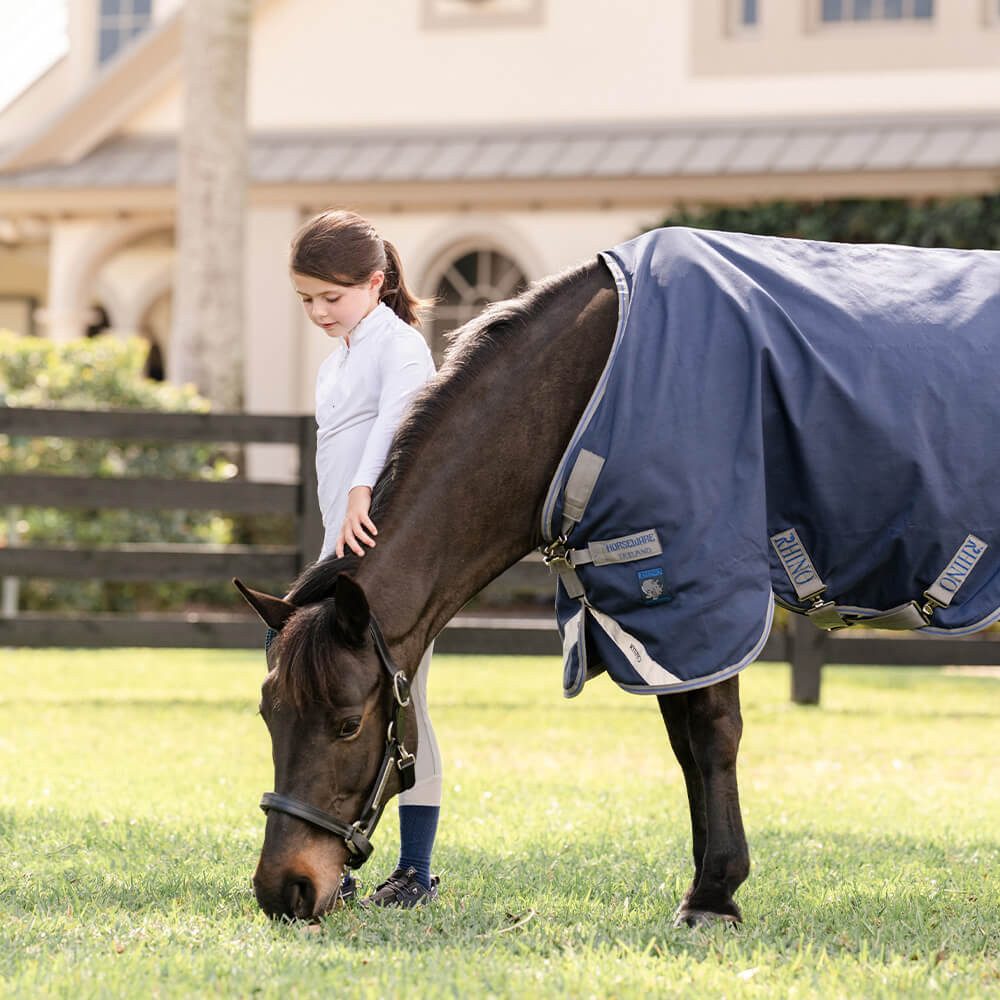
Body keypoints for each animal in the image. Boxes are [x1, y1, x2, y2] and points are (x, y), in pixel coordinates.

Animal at [237, 226, 999, 924]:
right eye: (269, 714)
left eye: (345, 724)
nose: (284, 890)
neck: (596, 385)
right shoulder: (650, 619)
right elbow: (685, 745)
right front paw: (704, 883)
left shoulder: (700, 591)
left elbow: (714, 734)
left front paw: (715, 897)